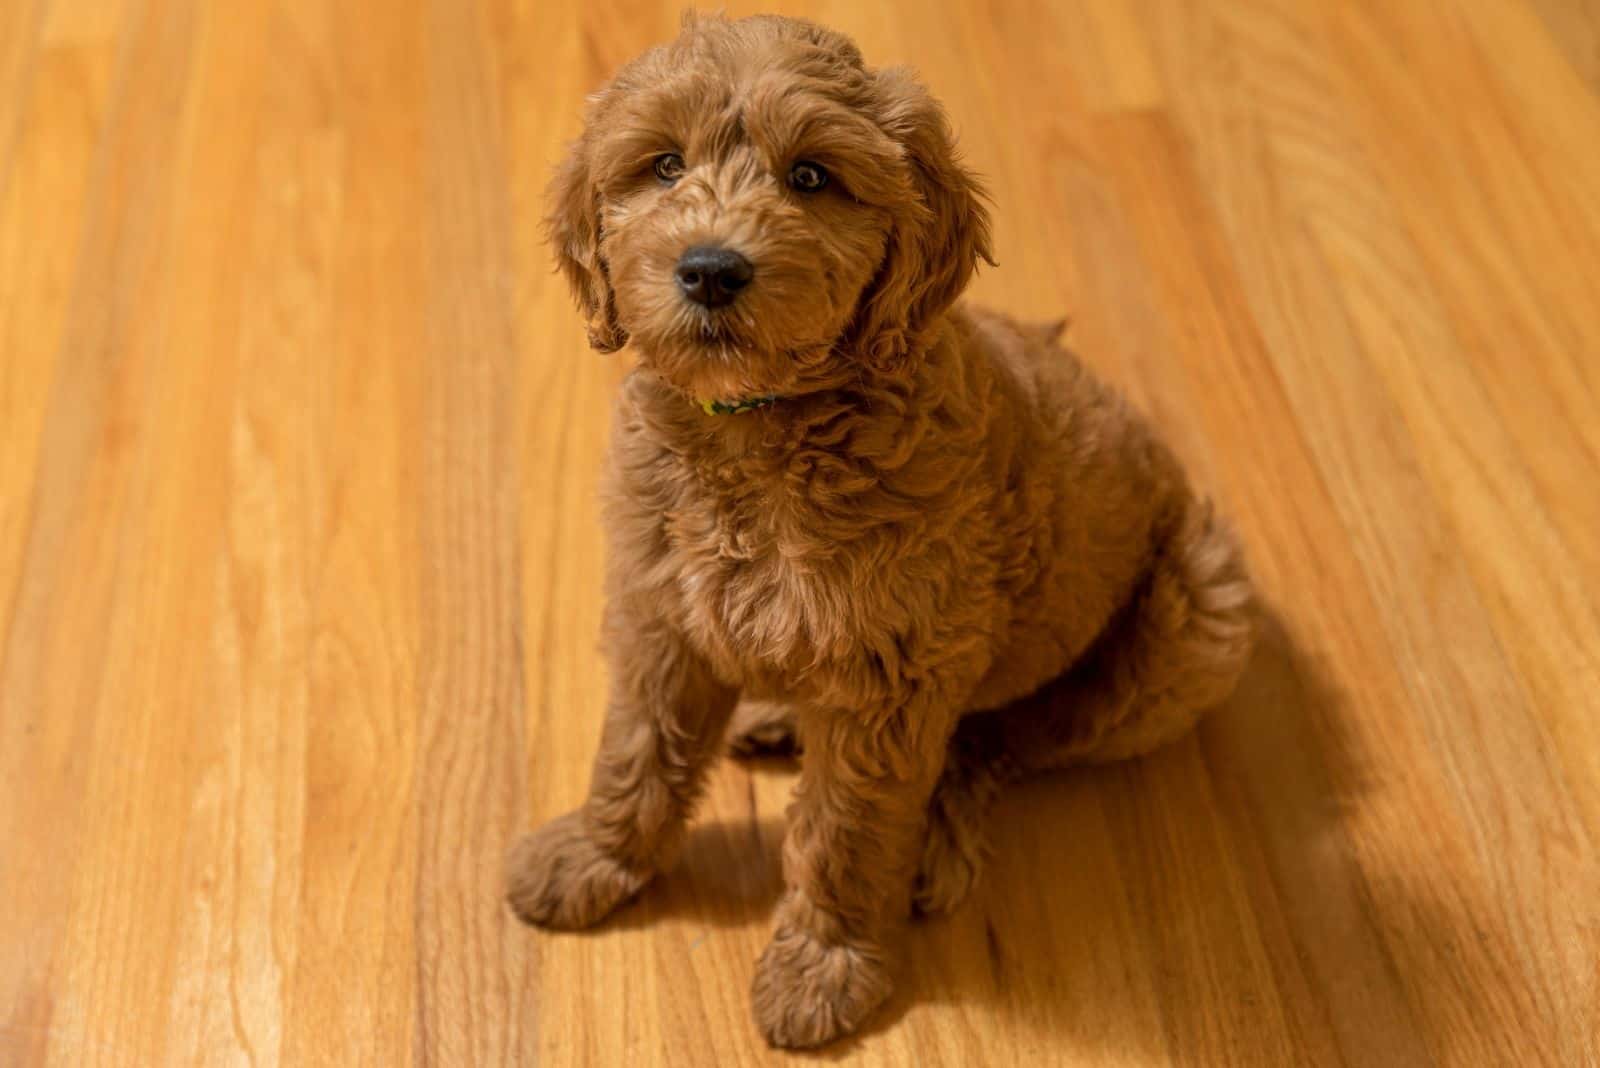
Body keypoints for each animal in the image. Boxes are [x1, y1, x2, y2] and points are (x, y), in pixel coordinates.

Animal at [505, 14, 1254, 1048]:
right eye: (663, 166)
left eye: (812, 176)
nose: (710, 269)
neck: (758, 431)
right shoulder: (661, 615)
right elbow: (636, 750)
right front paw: (593, 857)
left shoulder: (893, 675)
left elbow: (845, 832)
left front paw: (825, 967)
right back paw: (777, 716)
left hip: (1194, 620)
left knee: (1001, 740)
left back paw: (933, 826)